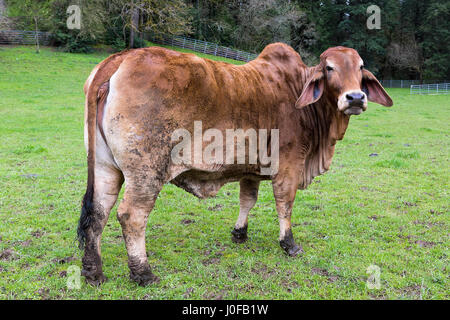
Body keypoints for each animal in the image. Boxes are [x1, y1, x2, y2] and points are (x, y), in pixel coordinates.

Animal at [79, 42, 392, 284]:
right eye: (329, 68)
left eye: (361, 67)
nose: (355, 97)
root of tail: (119, 59)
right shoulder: (289, 165)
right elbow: (285, 204)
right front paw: (289, 244)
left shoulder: (249, 169)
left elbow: (247, 200)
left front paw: (240, 233)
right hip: (146, 171)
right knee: (131, 215)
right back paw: (143, 273)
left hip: (106, 168)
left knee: (98, 211)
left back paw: (93, 272)